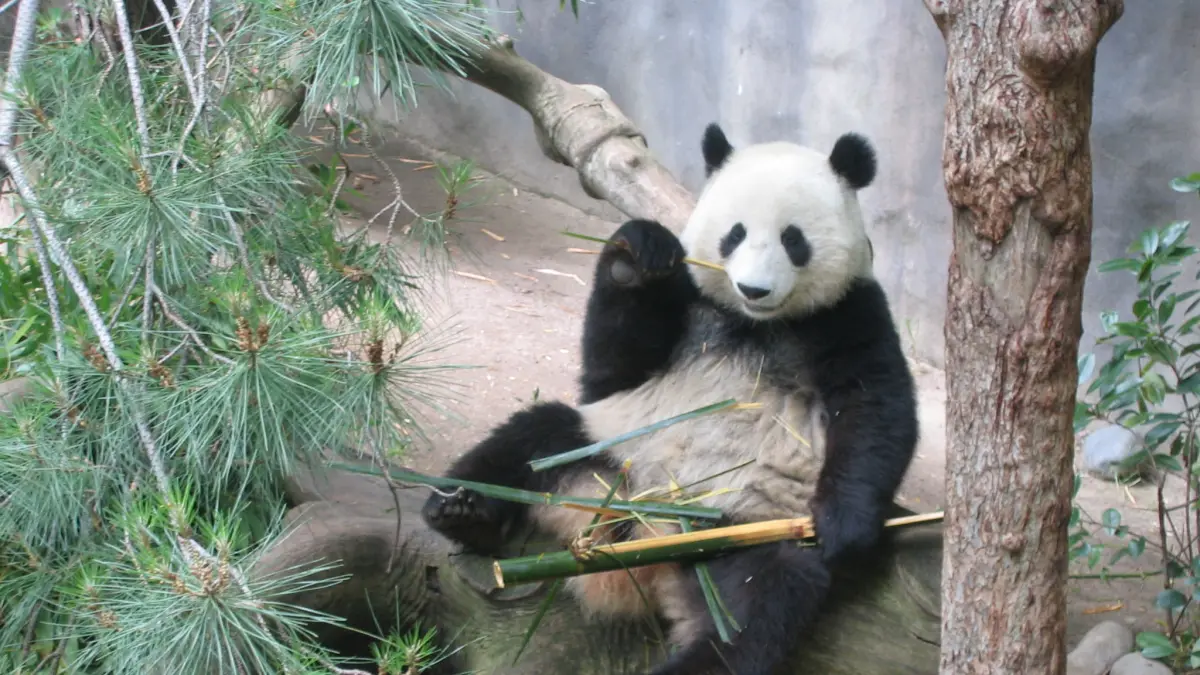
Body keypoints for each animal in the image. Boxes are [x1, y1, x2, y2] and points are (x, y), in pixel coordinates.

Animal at [422, 122, 919, 675]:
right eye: (734, 235)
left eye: (794, 240)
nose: (753, 288)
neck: (755, 324)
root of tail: (648, 536)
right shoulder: (687, 301)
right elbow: (611, 371)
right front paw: (635, 258)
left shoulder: (849, 311)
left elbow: (874, 409)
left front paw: (844, 526)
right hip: (605, 455)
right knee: (531, 439)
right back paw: (463, 511)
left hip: (745, 531)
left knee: (752, 611)